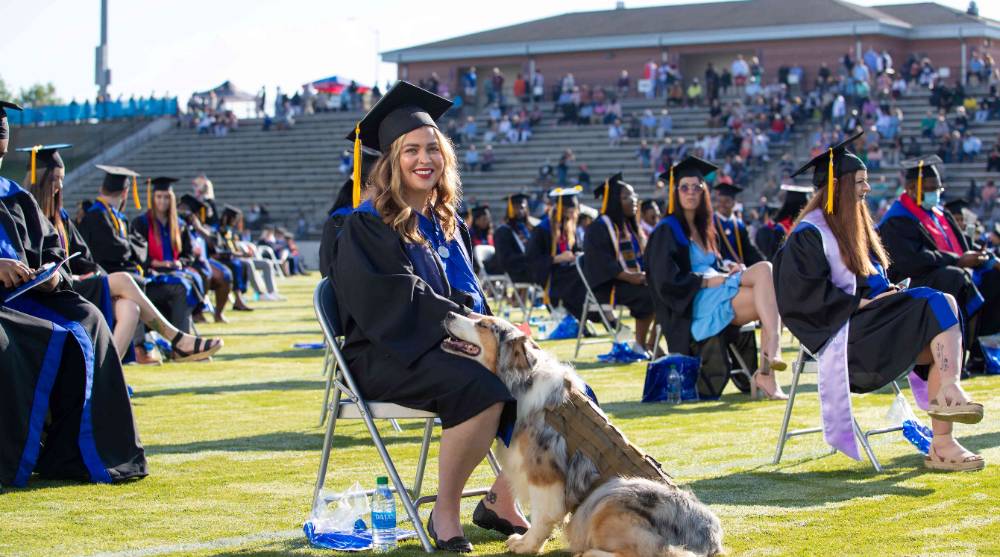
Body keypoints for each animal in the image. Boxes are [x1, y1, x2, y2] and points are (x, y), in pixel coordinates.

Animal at [442, 312, 724, 556]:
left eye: (483, 325)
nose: (449, 313)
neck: (520, 380)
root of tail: (708, 539)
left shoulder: (544, 473)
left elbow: (542, 517)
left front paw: (526, 544)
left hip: (612, 494)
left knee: (653, 552)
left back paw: (587, 553)